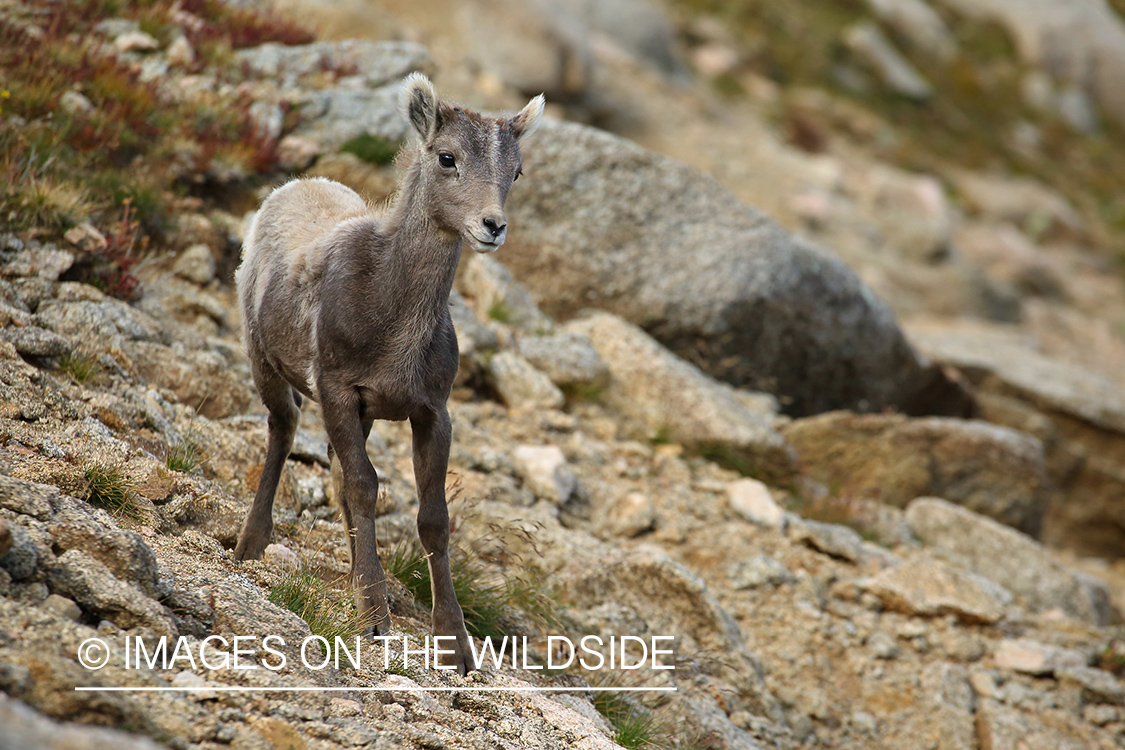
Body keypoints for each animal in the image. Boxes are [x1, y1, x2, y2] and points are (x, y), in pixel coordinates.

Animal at [234, 74, 544, 674]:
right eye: (447, 157)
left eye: (516, 171)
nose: (492, 226)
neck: (391, 313)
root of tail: (293, 188)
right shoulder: (337, 389)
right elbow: (363, 485)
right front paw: (373, 616)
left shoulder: (430, 413)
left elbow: (432, 517)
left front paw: (455, 646)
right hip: (265, 363)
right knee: (283, 431)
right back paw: (250, 547)